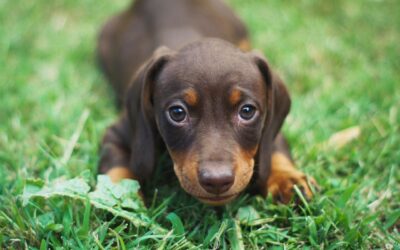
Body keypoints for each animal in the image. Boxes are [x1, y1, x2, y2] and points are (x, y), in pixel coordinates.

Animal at [97, 0, 316, 205]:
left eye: (247, 111)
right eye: (177, 113)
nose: (217, 181)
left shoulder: (269, 125)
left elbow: (276, 150)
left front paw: (288, 180)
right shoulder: (118, 133)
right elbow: (116, 170)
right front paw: (118, 199)